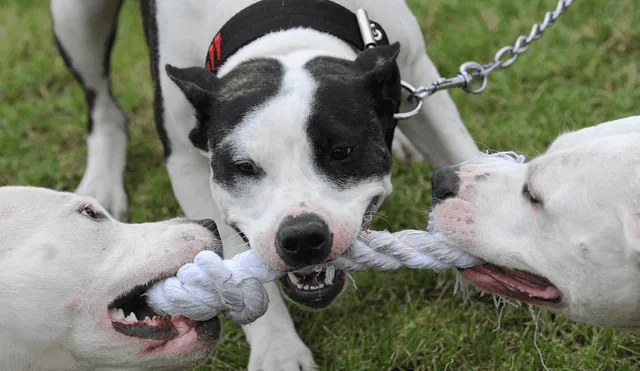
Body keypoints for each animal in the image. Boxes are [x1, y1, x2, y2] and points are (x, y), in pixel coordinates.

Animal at [51, 0, 480, 370]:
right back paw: (101, 183)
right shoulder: (187, 162)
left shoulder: (420, 79)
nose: (303, 237)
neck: (281, 23)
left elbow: (464, 152)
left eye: (341, 152)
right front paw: (279, 350)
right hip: (74, 17)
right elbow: (231, 265)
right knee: (101, 104)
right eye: (243, 167)